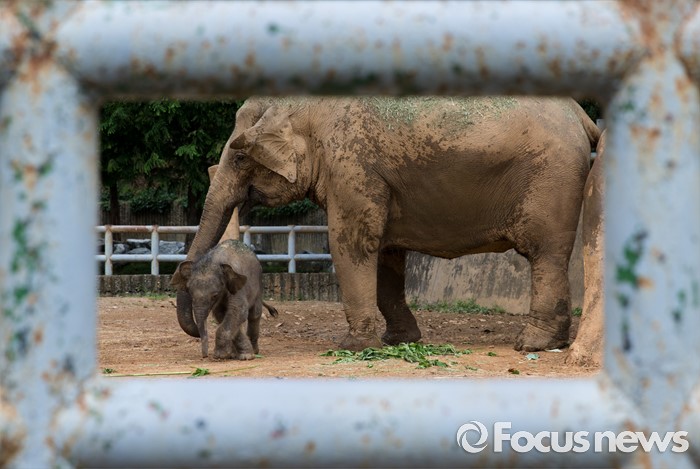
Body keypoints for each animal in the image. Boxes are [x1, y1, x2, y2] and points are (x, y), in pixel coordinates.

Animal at [177, 96, 600, 352]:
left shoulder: (351, 166)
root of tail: (581, 114)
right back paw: (550, 343)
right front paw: (398, 340)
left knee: (544, 254)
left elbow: (352, 242)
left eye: (240, 158)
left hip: (551, 178)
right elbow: (385, 253)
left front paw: (352, 347)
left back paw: (531, 345)